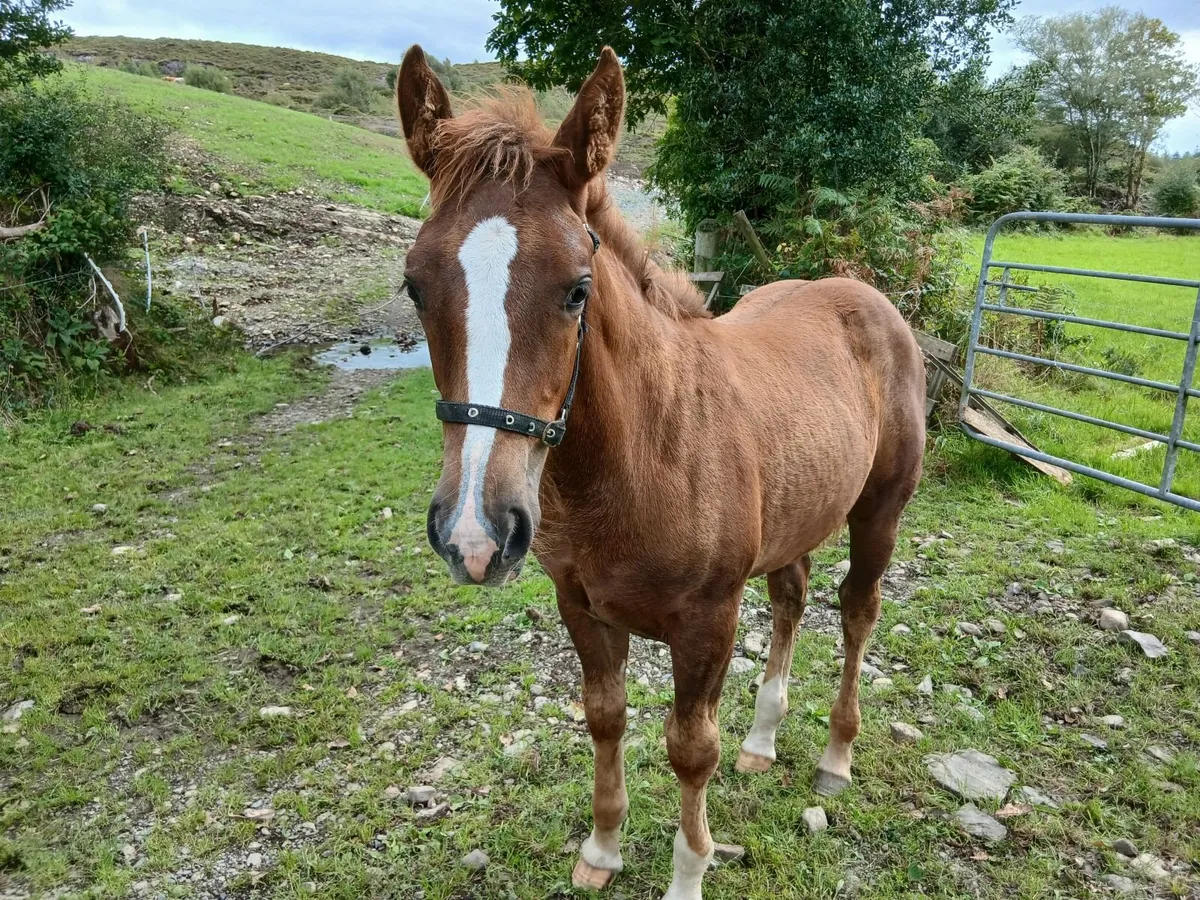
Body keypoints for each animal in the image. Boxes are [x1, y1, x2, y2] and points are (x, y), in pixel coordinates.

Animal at [395, 45, 925, 900]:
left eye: (577, 290)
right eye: (414, 284)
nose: (475, 534)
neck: (643, 455)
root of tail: (864, 295)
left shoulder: (706, 621)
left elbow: (688, 748)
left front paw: (688, 873)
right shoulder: (580, 605)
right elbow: (604, 716)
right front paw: (603, 848)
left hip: (879, 511)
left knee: (856, 612)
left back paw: (835, 757)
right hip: (796, 515)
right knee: (792, 600)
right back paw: (762, 740)